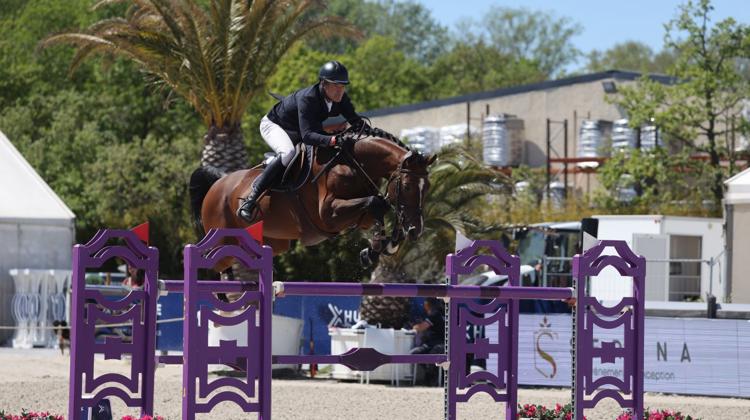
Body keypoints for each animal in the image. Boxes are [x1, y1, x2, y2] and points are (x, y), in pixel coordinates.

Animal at [189, 132, 434, 276]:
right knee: (213, 260)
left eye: (428, 188)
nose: (416, 230)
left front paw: (377, 249)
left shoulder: (359, 215)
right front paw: (377, 248)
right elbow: (376, 203)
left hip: (272, 241)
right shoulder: (329, 214)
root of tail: (217, 183)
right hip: (223, 237)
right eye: (408, 187)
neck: (352, 164)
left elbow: (378, 207)